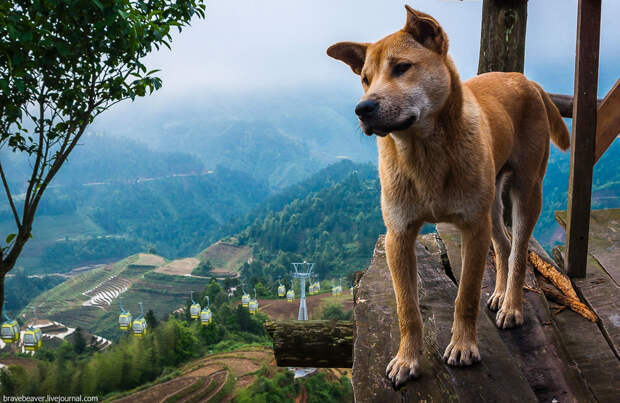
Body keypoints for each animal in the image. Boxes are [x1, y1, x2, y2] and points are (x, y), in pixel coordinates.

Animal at [326, 4, 568, 392]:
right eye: (364, 78)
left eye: (401, 67)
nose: (362, 109)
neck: (424, 152)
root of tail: (524, 80)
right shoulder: (399, 236)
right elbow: (407, 307)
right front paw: (407, 360)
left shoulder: (472, 229)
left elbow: (465, 294)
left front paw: (464, 346)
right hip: (492, 202)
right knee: (503, 243)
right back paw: (499, 294)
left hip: (527, 190)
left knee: (518, 251)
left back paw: (511, 305)